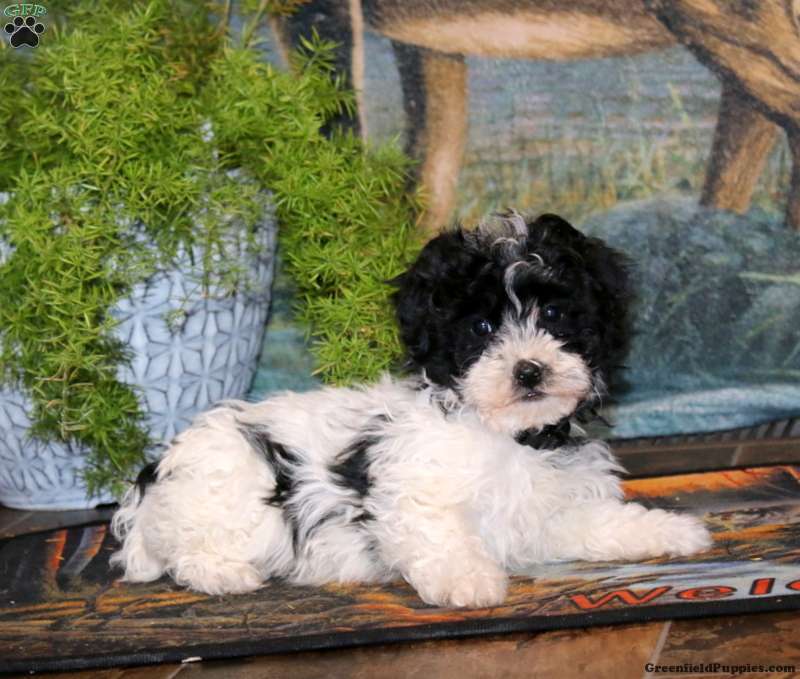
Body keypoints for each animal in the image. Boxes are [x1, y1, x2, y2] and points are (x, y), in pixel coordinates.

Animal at [110, 212, 712, 608]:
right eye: (482, 327)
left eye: (556, 315)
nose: (529, 370)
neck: (508, 434)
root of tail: (157, 477)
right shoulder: (416, 490)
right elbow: (440, 533)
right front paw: (470, 581)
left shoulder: (551, 510)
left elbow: (598, 522)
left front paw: (671, 531)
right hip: (230, 493)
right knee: (189, 549)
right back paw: (225, 574)